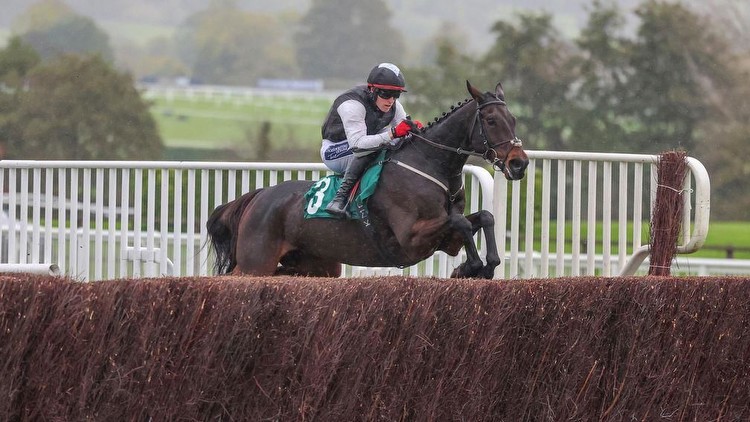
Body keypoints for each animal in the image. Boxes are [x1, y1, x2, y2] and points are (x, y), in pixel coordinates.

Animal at [209, 81, 532, 280]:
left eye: (514, 120)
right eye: (491, 120)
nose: (519, 163)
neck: (430, 164)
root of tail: (259, 195)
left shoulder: (445, 238)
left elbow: (485, 217)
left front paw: (482, 266)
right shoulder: (410, 238)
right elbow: (462, 222)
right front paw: (473, 265)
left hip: (317, 265)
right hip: (256, 262)